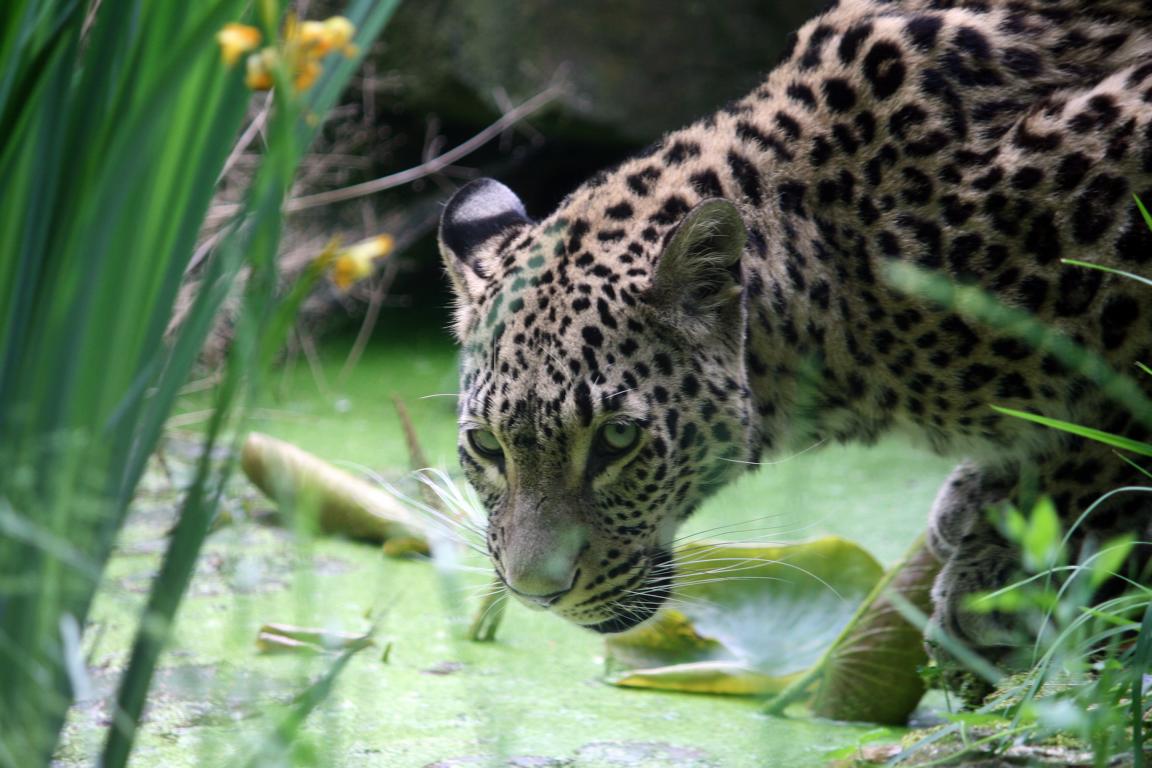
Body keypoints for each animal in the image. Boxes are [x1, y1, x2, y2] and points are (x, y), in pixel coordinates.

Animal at [433, 0, 1152, 667]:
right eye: (487, 446)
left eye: (617, 439)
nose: (535, 593)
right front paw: (988, 506)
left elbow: (1108, 426)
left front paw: (1013, 559)